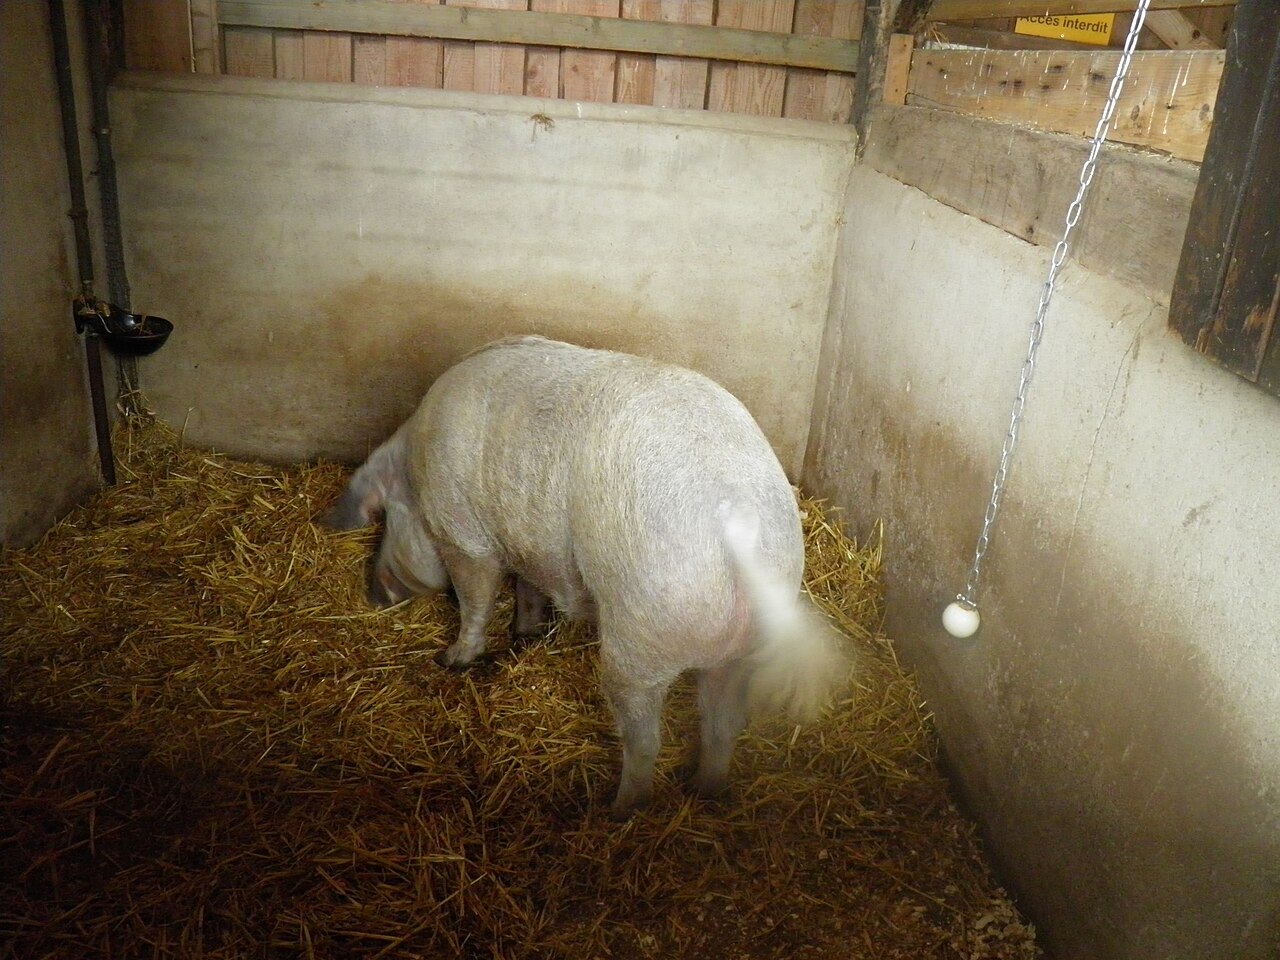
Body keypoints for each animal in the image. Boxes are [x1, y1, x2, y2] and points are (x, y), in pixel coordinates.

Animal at [325, 336, 849, 814]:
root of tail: (735, 519)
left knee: (645, 738)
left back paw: (616, 811)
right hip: (745, 647)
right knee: (722, 724)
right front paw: (525, 634)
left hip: (640, 636)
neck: (417, 470)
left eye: (385, 518)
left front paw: (452, 659)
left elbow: (476, 597)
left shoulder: (463, 533)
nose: (373, 593)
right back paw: (708, 794)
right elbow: (529, 586)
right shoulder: (530, 544)